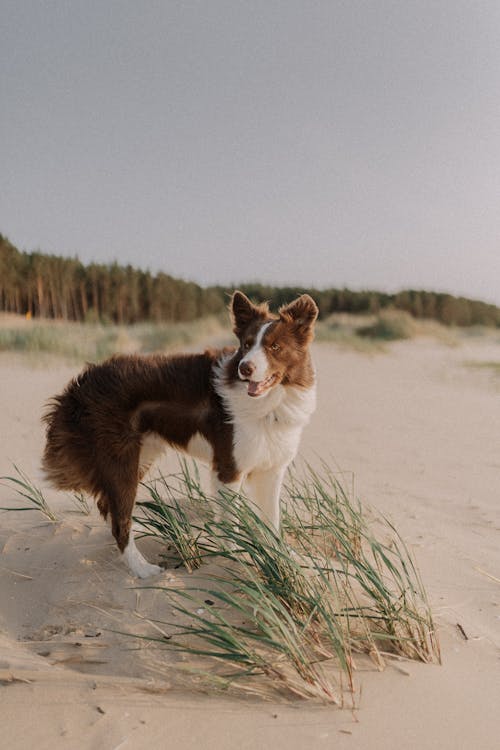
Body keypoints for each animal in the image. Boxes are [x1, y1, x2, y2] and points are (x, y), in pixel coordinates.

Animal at [41, 290, 318, 580]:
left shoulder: (271, 469)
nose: (245, 368)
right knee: (120, 520)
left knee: (110, 509)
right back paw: (142, 569)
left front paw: (285, 558)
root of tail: (79, 387)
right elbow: (232, 520)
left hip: (141, 457)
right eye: (246, 345)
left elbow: (272, 522)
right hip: (121, 461)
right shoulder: (229, 468)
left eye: (274, 347)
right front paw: (235, 559)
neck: (272, 402)